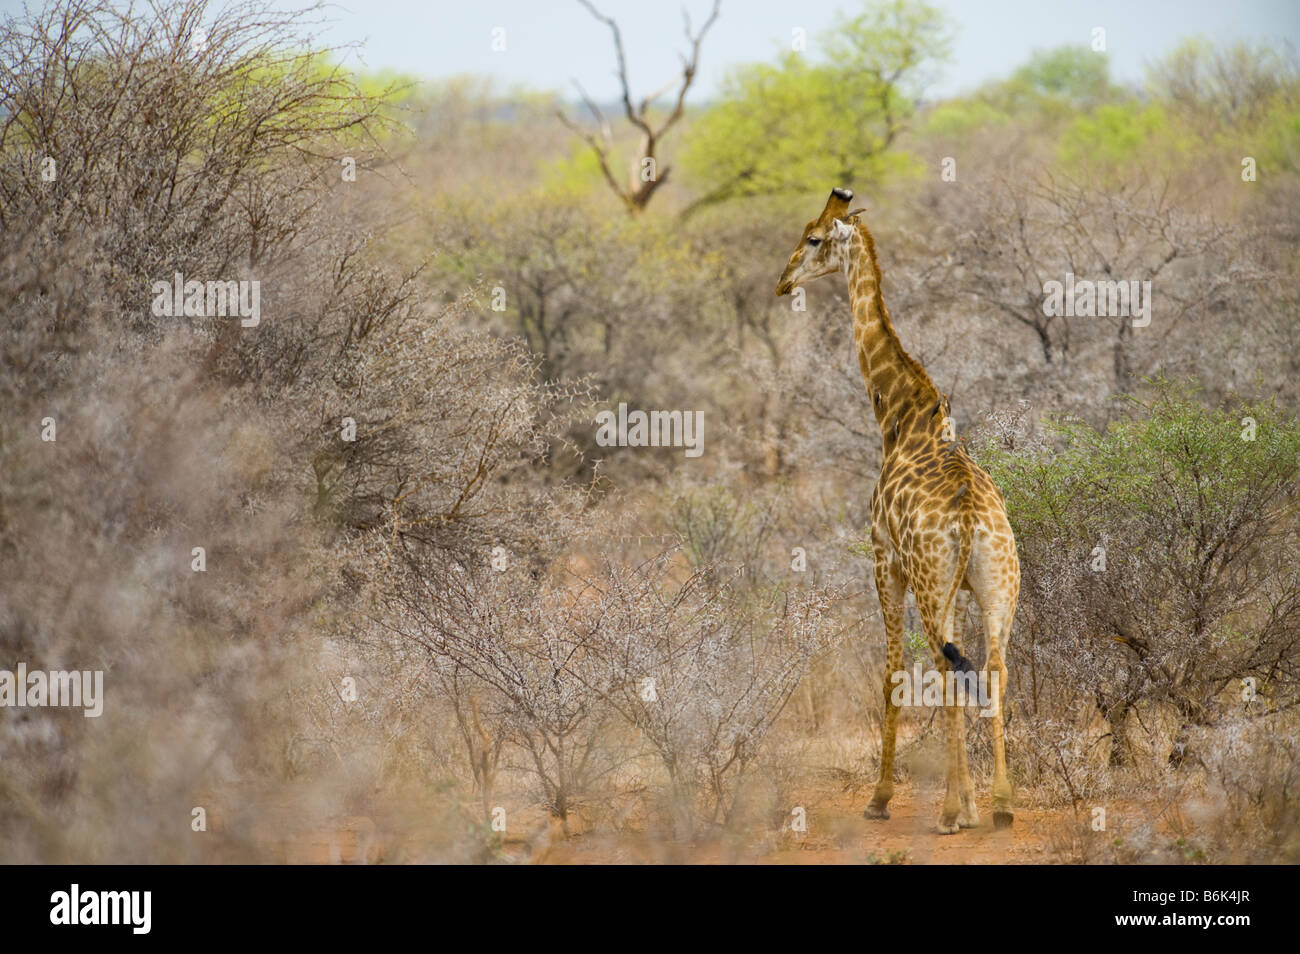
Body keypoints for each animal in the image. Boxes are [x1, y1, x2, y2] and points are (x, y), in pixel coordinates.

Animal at [774, 191, 1019, 831]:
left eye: (813, 238)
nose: (783, 282)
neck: (900, 417)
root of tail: (970, 520)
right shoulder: (952, 585)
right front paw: (972, 802)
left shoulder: (885, 560)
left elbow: (890, 673)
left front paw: (881, 798)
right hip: (997, 585)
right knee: (992, 667)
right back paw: (1001, 805)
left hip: (932, 581)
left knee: (947, 668)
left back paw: (953, 810)